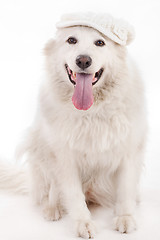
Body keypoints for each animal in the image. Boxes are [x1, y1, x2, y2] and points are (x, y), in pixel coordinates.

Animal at [0, 12, 148, 238]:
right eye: (71, 40)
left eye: (100, 42)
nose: (83, 60)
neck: (92, 111)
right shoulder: (64, 159)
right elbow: (74, 196)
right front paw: (83, 223)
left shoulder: (129, 152)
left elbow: (124, 190)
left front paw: (125, 216)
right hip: (40, 149)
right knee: (52, 191)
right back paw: (52, 209)